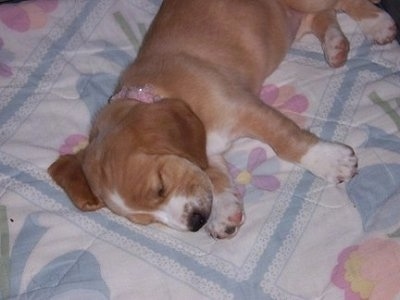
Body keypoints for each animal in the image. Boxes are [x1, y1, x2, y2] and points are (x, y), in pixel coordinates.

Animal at [48, 0, 396, 239]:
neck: (155, 91)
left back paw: (378, 23)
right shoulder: (208, 152)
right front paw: (224, 211)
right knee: (324, 15)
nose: (196, 223)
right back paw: (335, 45)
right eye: (147, 220)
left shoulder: (246, 107)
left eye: (160, 187)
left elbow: (287, 142)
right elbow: (214, 177)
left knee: (344, 2)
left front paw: (331, 161)